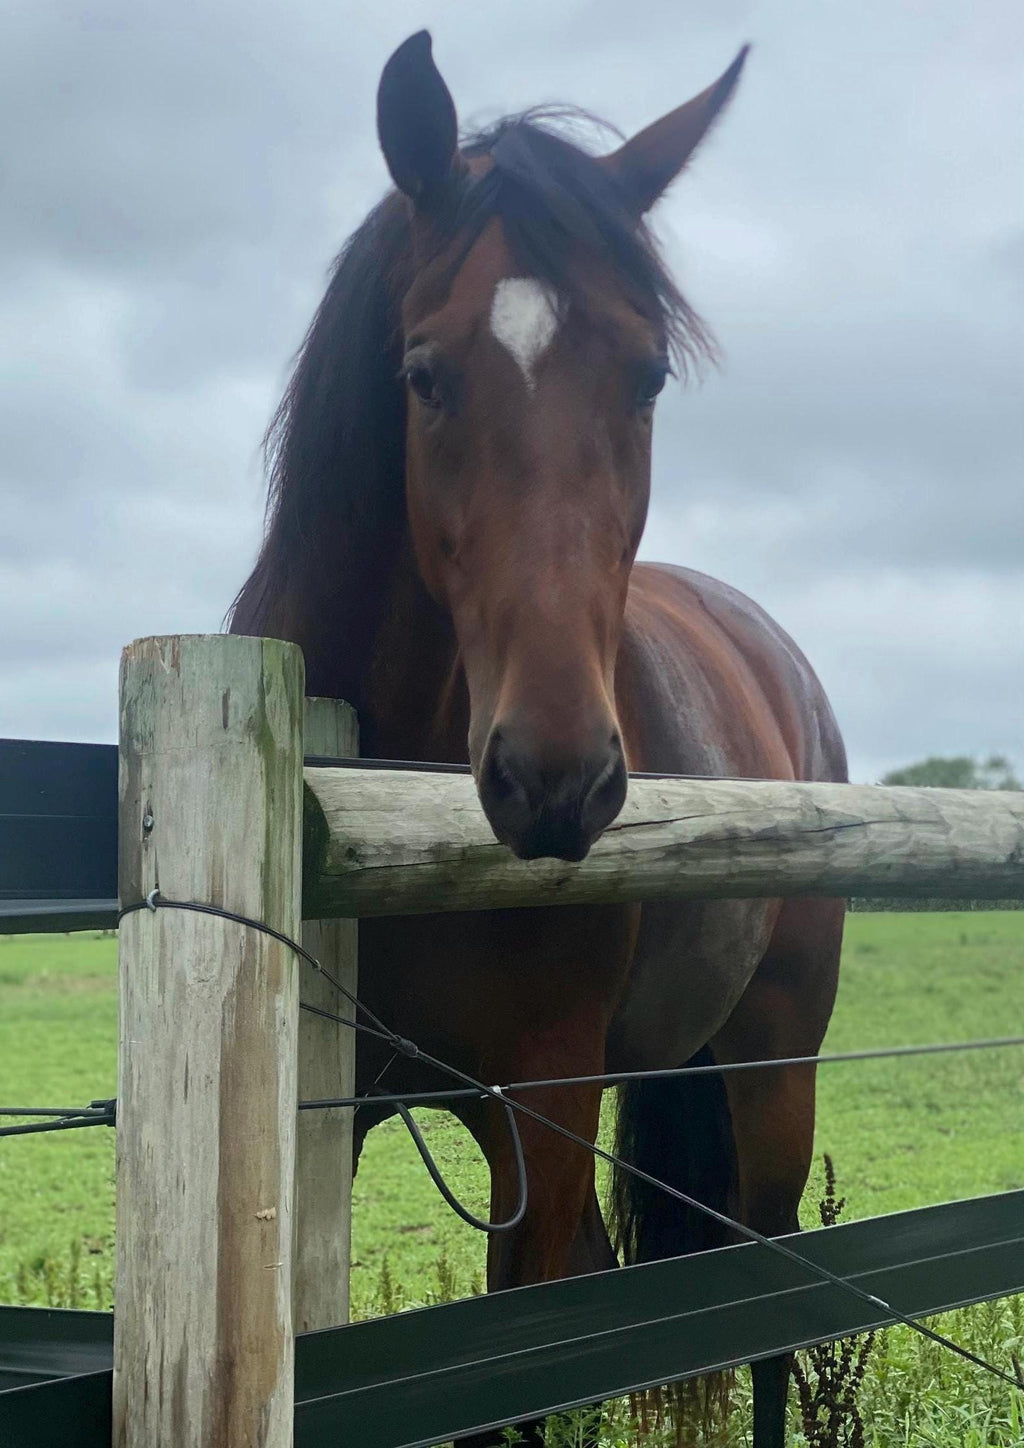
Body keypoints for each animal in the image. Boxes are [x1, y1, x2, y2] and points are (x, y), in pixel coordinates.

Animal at [231, 31, 847, 1448]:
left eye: (647, 374)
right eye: (423, 375)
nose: (554, 775)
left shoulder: (546, 1100)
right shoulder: (341, 1114)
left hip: (772, 1065)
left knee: (768, 1313)